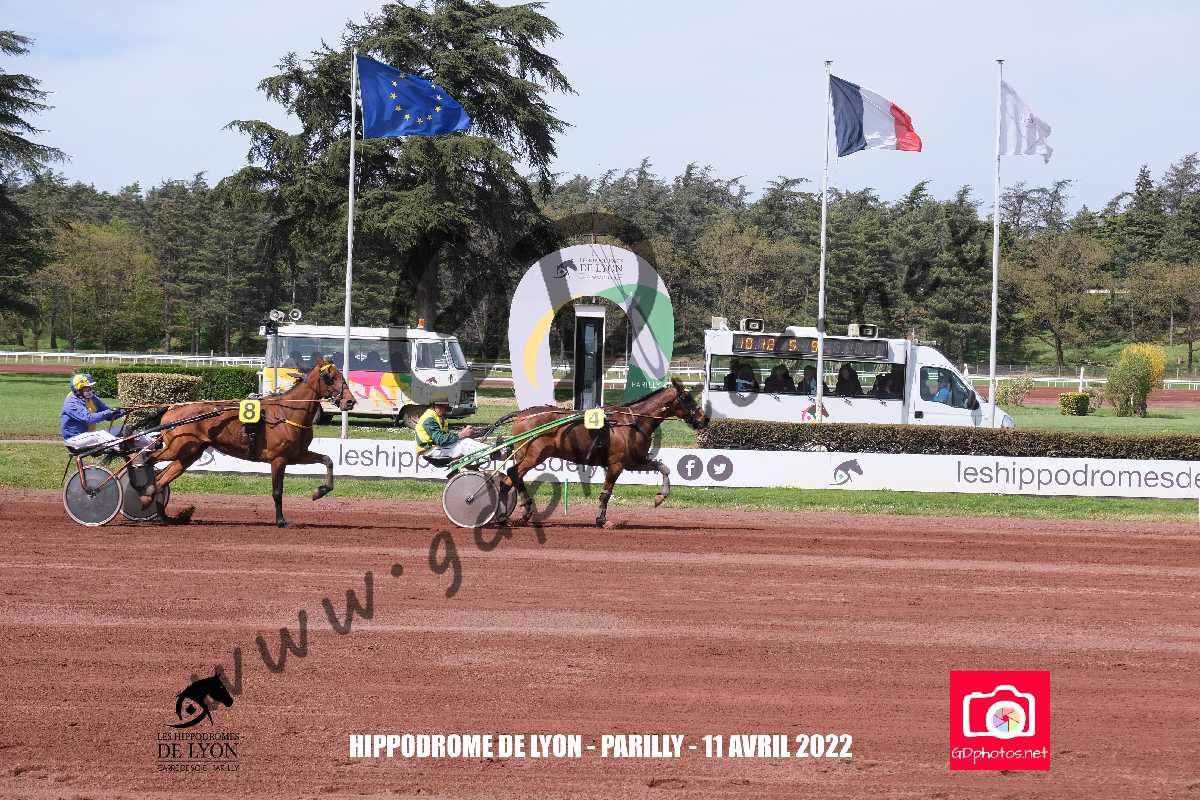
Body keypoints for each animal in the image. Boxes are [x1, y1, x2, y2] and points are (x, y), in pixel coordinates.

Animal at [141, 358, 355, 527]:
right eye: (329, 377)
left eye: (341, 376)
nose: (350, 401)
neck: (287, 413)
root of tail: (171, 409)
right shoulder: (279, 459)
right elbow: (277, 491)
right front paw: (281, 521)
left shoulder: (297, 454)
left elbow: (328, 460)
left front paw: (319, 491)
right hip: (176, 447)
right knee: (148, 459)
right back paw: (145, 490)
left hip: (189, 453)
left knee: (163, 478)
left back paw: (162, 513)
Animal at [505, 378, 707, 527]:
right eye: (687, 397)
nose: (704, 418)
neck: (633, 422)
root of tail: (522, 414)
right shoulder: (616, 464)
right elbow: (606, 493)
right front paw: (601, 520)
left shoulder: (635, 461)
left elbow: (663, 468)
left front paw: (660, 496)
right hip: (535, 455)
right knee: (513, 473)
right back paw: (525, 512)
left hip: (526, 455)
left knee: (509, 479)